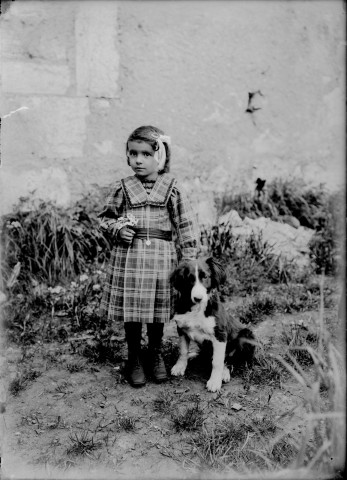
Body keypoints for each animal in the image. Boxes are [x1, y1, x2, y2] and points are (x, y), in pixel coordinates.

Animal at [171, 256, 256, 392]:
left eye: (205, 276)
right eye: (189, 279)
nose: (198, 298)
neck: (197, 308)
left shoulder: (220, 335)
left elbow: (217, 361)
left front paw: (215, 381)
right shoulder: (181, 328)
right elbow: (183, 351)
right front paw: (180, 366)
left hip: (247, 335)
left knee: (231, 360)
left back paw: (224, 373)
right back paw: (194, 355)